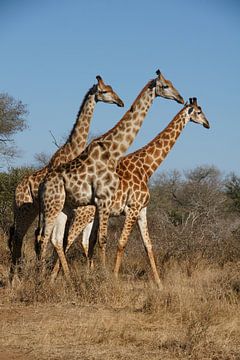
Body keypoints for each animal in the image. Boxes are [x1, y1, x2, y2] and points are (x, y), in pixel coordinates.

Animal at [8, 76, 124, 272]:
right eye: (105, 91)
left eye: (112, 88)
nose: (120, 102)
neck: (72, 149)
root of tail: (16, 189)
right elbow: (56, 239)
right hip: (27, 210)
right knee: (19, 238)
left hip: (29, 210)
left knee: (20, 237)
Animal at [36, 69, 185, 278]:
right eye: (165, 86)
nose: (181, 98)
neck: (113, 151)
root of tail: (43, 184)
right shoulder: (106, 201)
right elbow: (103, 240)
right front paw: (105, 277)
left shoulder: (109, 205)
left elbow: (101, 241)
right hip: (54, 206)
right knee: (45, 238)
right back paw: (41, 278)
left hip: (62, 208)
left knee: (55, 239)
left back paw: (63, 278)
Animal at [51, 96, 209, 286]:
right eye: (199, 111)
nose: (208, 124)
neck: (147, 168)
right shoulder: (132, 209)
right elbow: (121, 243)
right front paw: (113, 277)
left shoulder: (142, 210)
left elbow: (148, 246)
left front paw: (159, 284)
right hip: (84, 215)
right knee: (66, 240)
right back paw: (55, 277)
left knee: (72, 241)